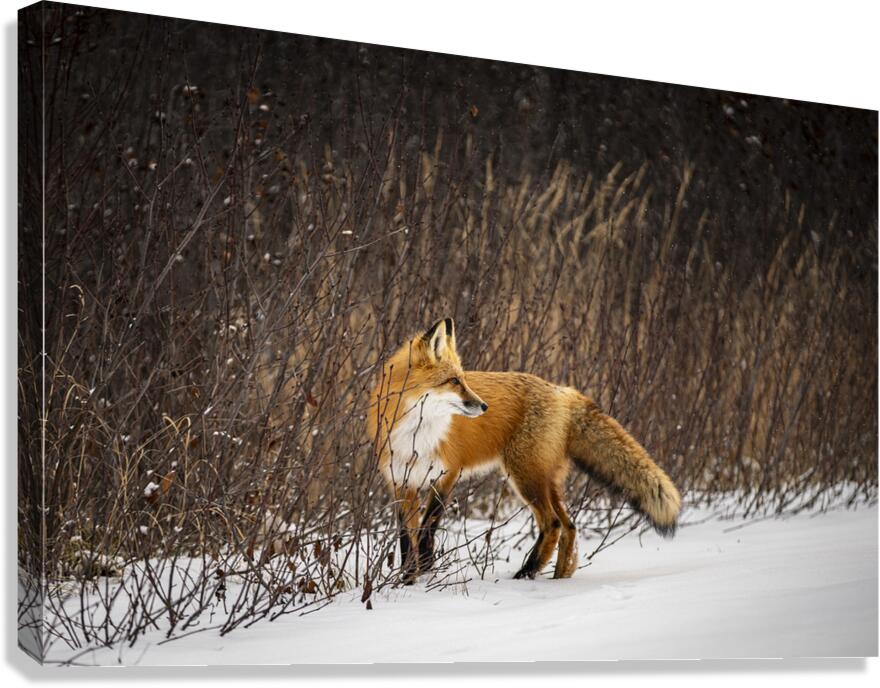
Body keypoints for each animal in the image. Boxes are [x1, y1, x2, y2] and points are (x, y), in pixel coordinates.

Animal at [367, 318, 681, 582]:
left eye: (463, 378)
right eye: (454, 381)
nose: (484, 406)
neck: (416, 434)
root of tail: (562, 391)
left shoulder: (447, 476)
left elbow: (427, 528)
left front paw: (423, 568)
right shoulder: (401, 482)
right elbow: (405, 537)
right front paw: (407, 578)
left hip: (525, 476)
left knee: (552, 524)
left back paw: (527, 572)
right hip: (545, 479)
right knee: (569, 526)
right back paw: (558, 577)